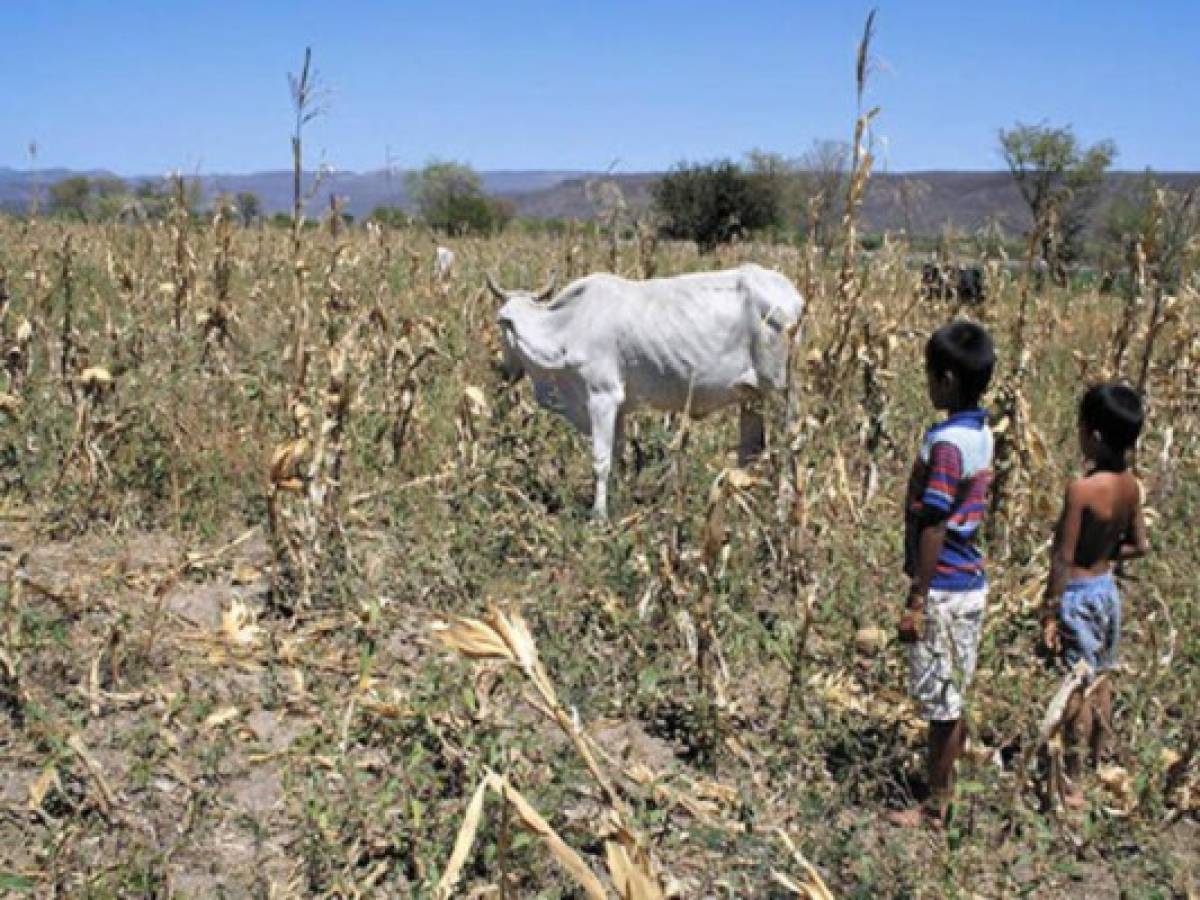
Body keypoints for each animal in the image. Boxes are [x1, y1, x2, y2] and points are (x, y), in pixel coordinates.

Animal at [487, 264, 806, 518]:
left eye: (501, 324)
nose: (504, 371)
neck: (566, 330)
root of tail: (793, 296)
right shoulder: (619, 408)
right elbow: (617, 456)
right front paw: (617, 503)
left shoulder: (602, 397)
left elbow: (601, 461)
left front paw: (598, 516)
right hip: (752, 396)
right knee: (752, 449)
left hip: (782, 391)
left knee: (787, 445)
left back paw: (780, 509)